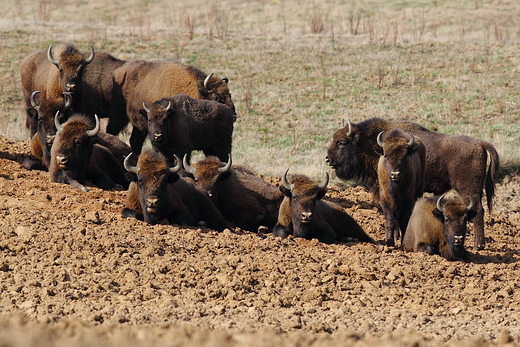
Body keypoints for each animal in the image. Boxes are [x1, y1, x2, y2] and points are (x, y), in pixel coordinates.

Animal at [324, 118, 500, 251]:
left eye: (342, 143)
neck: (369, 143)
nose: (327, 159)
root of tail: (479, 143)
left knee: (478, 211)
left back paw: (478, 246)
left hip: (467, 189)